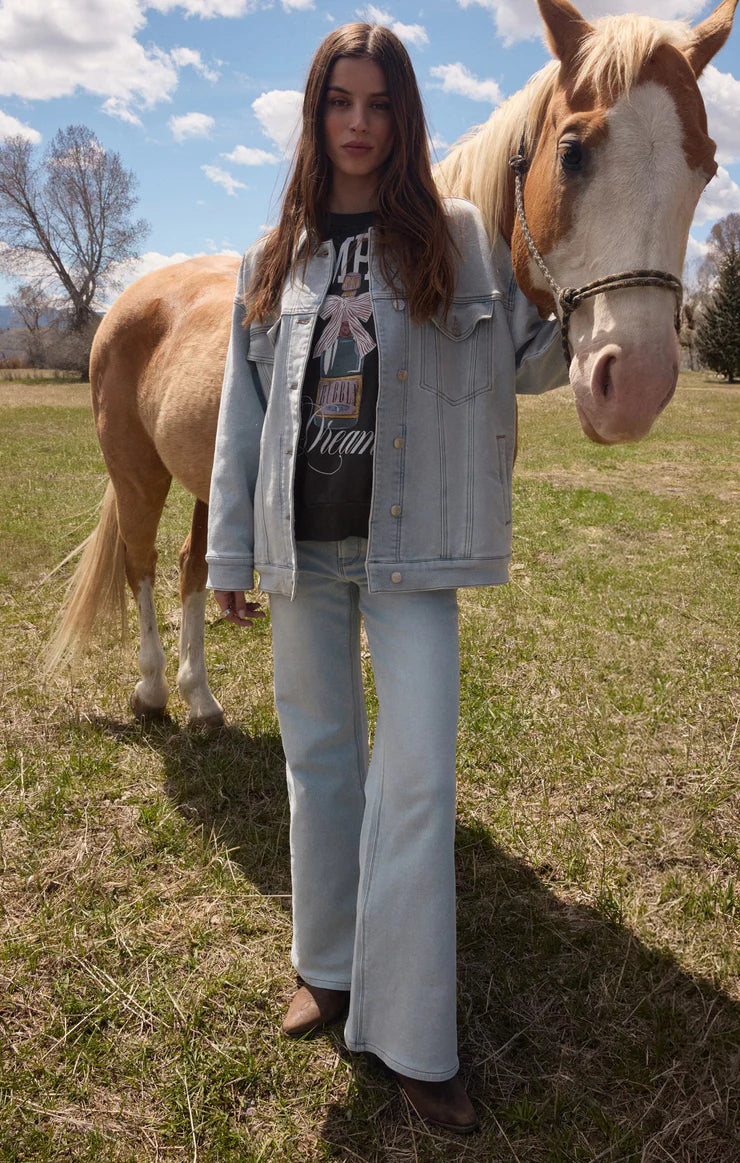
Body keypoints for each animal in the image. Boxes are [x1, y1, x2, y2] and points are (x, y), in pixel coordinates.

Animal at [46, 0, 735, 725]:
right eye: (572, 153)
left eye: (707, 168)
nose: (634, 385)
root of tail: (132, 300)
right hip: (136, 471)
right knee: (141, 563)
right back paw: (152, 690)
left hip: (212, 480)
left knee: (193, 567)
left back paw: (200, 696)